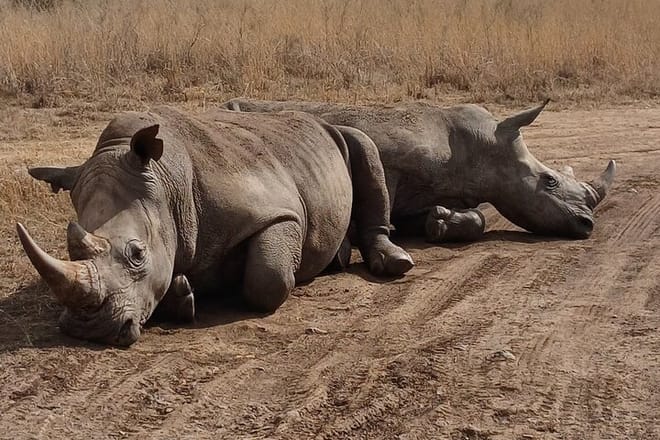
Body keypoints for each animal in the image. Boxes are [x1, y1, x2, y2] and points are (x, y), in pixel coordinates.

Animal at [18, 106, 413, 346]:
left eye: (137, 254)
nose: (90, 330)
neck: (167, 184)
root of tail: (316, 119)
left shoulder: (281, 211)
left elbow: (268, 278)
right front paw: (181, 294)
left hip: (339, 133)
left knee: (363, 143)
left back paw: (394, 263)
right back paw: (339, 259)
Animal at [222, 98, 616, 241]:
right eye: (549, 181)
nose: (587, 226)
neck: (483, 149)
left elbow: (474, 217)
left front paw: (439, 224)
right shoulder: (391, 158)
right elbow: (380, 198)